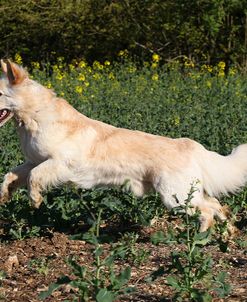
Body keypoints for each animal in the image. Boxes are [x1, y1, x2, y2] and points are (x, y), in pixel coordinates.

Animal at [0, 59, 245, 234]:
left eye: (0, 93)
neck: (34, 118)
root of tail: (192, 146)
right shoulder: (33, 161)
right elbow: (11, 174)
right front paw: (5, 195)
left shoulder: (60, 163)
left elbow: (34, 177)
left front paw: (35, 200)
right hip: (185, 194)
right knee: (217, 205)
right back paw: (227, 233)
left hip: (176, 197)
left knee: (207, 211)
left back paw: (200, 237)